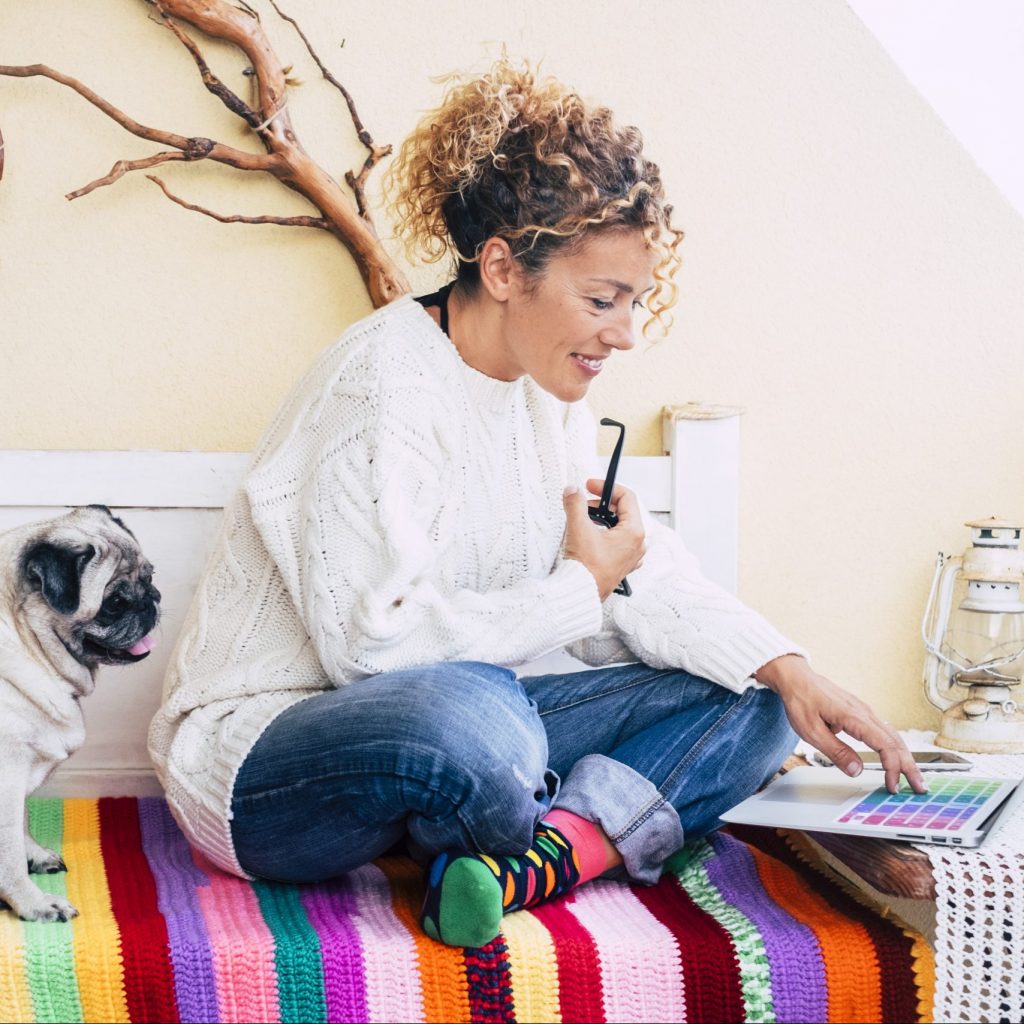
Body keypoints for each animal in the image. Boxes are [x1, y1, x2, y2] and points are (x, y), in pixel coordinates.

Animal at [0, 505, 160, 921]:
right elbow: (8, 852)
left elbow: (21, 824)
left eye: (150, 576)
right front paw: (34, 903)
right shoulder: (6, 776)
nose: (151, 599)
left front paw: (35, 855)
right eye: (114, 603)